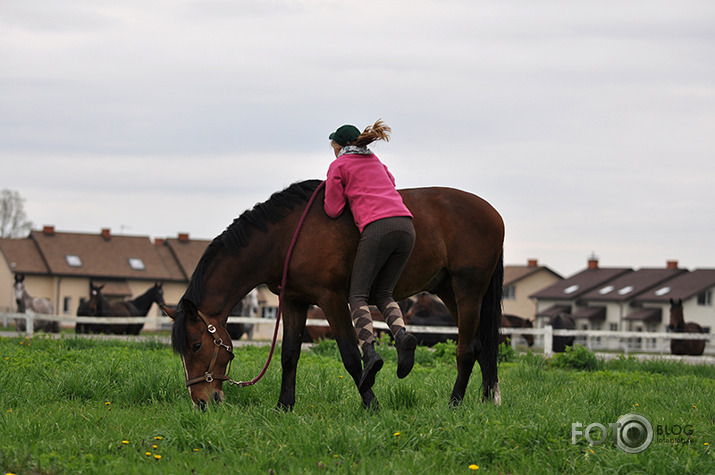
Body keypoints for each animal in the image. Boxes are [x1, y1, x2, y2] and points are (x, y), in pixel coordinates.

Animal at [166, 180, 506, 410]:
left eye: (196, 345)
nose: (201, 401)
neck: (287, 236)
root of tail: (494, 214)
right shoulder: (294, 301)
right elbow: (289, 355)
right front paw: (283, 406)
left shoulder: (331, 300)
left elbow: (351, 356)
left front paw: (371, 404)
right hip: (449, 291)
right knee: (479, 346)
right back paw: (486, 400)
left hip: (468, 291)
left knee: (466, 350)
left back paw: (455, 403)